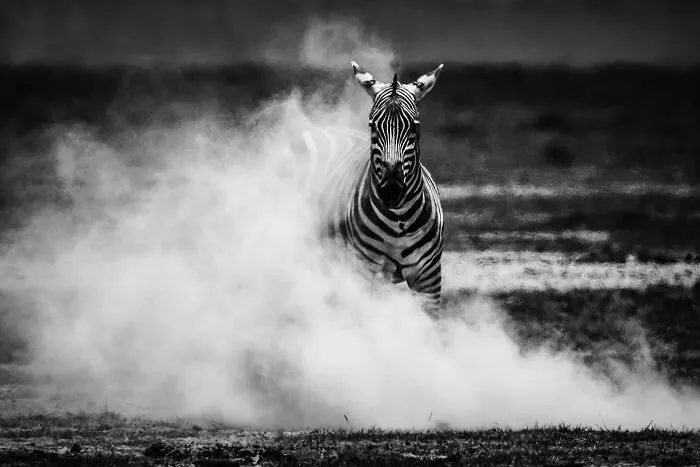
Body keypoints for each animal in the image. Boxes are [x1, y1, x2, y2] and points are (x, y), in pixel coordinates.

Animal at [308, 61, 445, 315]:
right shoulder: (366, 272)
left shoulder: (429, 278)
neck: (399, 219)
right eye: (372, 126)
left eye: (413, 127)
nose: (391, 190)